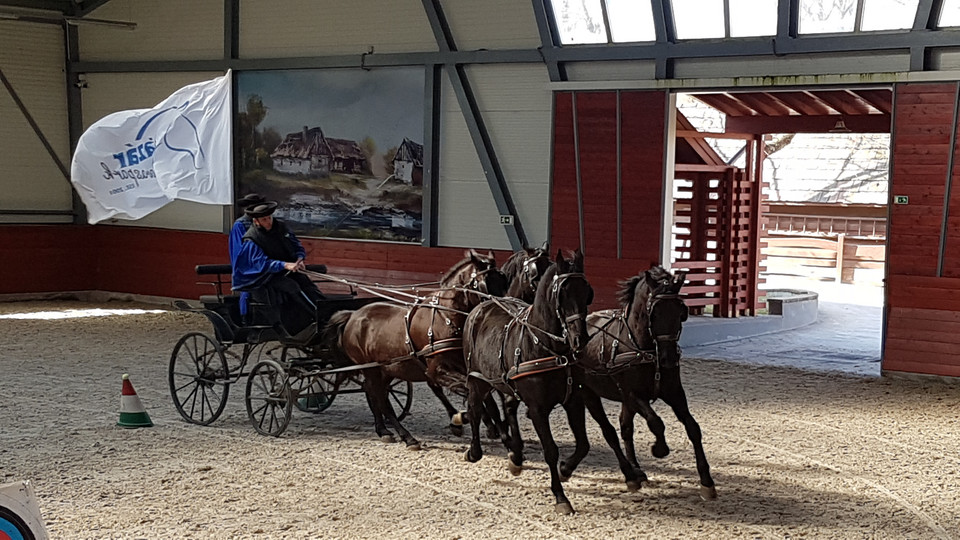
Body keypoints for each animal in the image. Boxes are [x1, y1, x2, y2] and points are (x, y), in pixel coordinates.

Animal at [326, 251, 510, 450]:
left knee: (376, 395)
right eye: (484, 284)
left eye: (503, 280)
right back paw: (404, 436)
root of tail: (352, 315)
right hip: (370, 368)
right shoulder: (436, 371)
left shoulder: (466, 367)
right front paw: (460, 419)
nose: (504, 314)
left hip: (386, 369)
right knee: (378, 398)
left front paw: (500, 431)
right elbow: (470, 394)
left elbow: (486, 397)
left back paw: (384, 430)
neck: (446, 318)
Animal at [462, 250, 640, 516]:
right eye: (562, 293)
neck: (547, 347)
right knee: (475, 408)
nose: (580, 339)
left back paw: (515, 455)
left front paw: (565, 470)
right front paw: (560, 497)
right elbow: (550, 450)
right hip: (477, 379)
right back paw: (475, 451)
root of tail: (482, 306)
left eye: (587, 291)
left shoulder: (573, 401)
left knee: (506, 406)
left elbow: (583, 444)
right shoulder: (537, 409)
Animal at [572, 268, 716, 500]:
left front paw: (706, 481)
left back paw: (636, 469)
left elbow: (693, 428)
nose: (668, 358)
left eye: (680, 312)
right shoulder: (633, 395)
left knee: (625, 428)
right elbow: (656, 422)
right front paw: (660, 448)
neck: (645, 349)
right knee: (610, 431)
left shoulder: (674, 393)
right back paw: (631, 473)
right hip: (588, 392)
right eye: (654, 314)